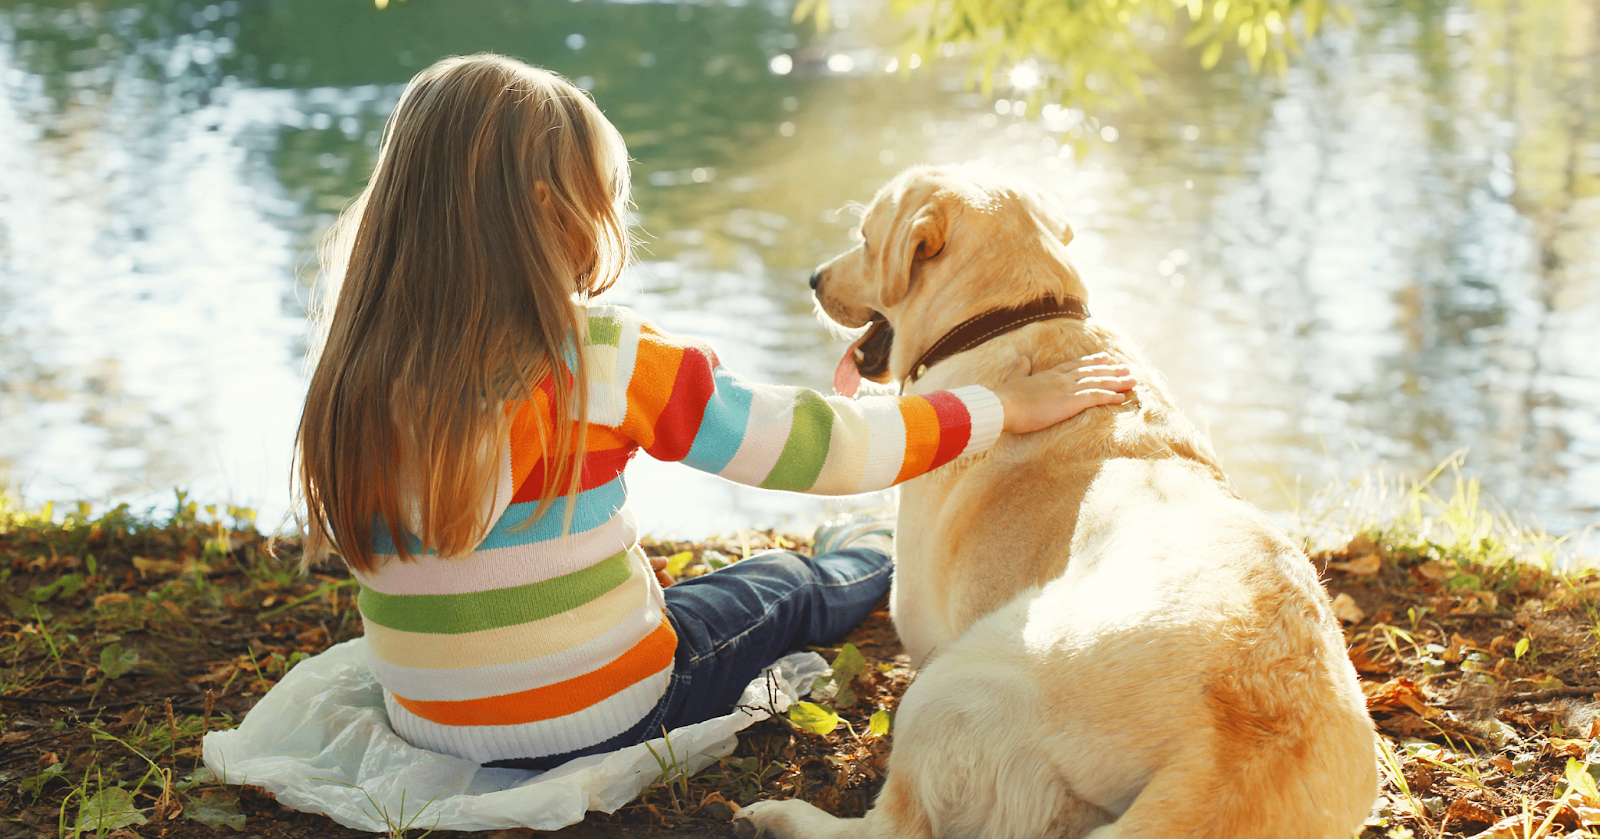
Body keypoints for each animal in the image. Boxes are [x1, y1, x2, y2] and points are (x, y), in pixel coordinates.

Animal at [736, 165, 1376, 839]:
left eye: (864, 238)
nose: (814, 278)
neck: (1017, 317)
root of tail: (1236, 751)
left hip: (956, 680)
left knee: (893, 826)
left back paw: (782, 814)